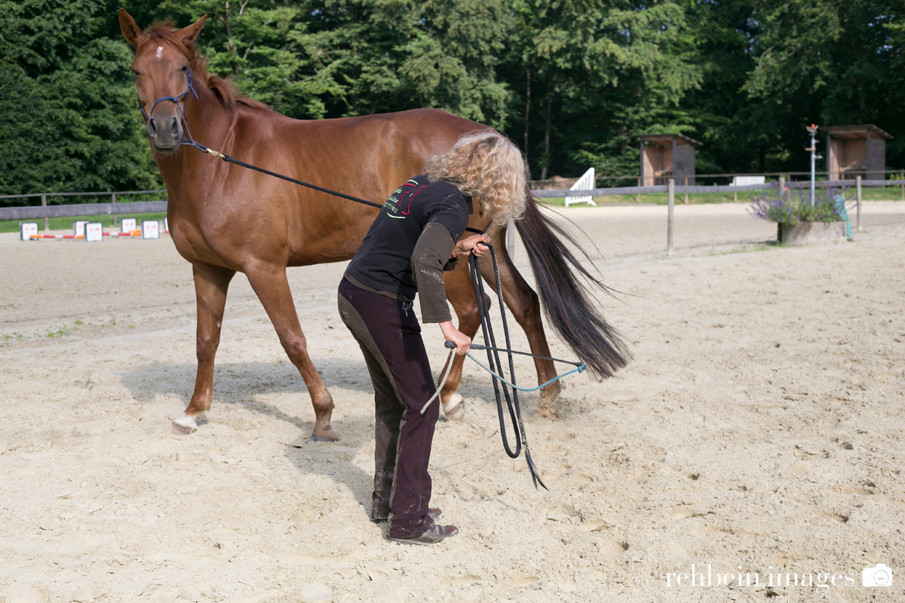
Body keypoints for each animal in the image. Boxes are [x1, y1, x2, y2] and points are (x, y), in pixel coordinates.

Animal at [120, 9, 628, 442]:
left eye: (182, 68)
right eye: (137, 70)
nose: (164, 128)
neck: (223, 162)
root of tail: (487, 139)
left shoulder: (264, 267)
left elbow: (292, 339)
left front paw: (323, 414)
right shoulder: (208, 269)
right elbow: (206, 341)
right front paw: (193, 411)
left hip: (454, 254)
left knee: (471, 311)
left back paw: (449, 397)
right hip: (486, 249)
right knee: (523, 303)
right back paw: (547, 396)